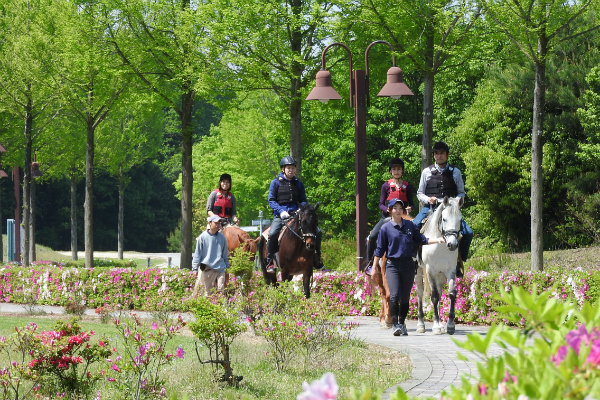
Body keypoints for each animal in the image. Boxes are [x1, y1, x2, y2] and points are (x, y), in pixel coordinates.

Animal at [418, 197, 464, 334]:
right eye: (444, 219)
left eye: (460, 220)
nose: (452, 245)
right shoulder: (430, 270)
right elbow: (433, 297)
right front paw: (437, 327)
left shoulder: (450, 270)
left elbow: (451, 294)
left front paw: (450, 325)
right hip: (418, 271)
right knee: (420, 292)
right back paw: (421, 324)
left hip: (441, 275)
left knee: (438, 292)